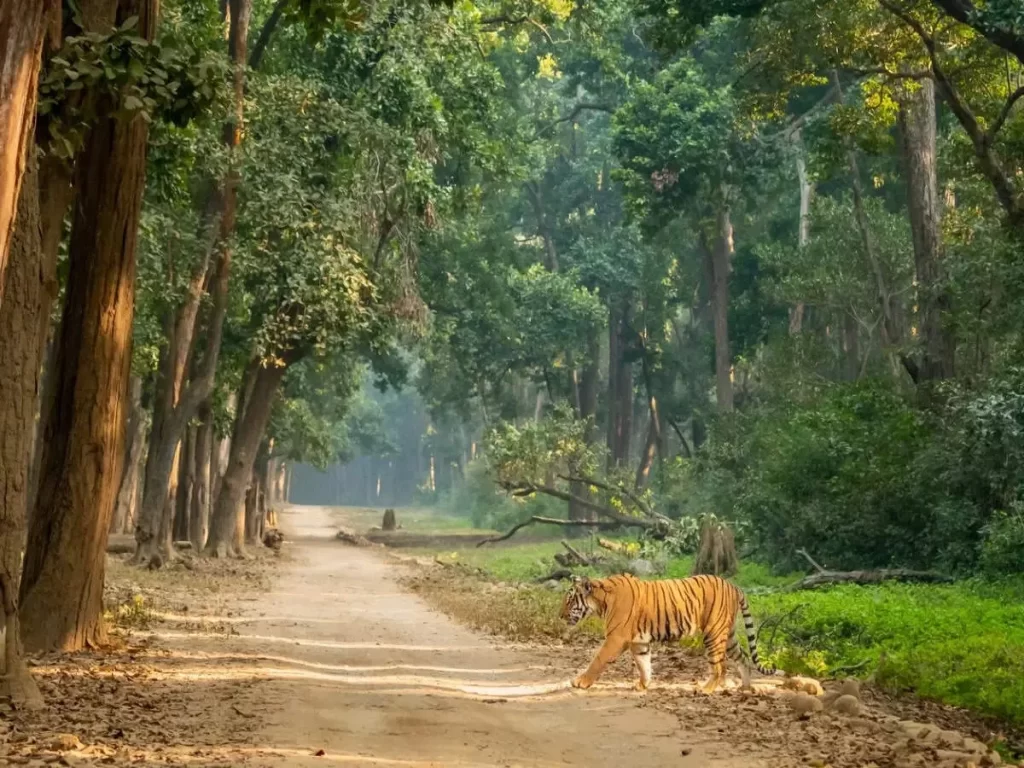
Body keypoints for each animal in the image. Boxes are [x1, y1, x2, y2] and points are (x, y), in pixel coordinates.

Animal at [560, 573, 782, 693]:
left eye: (569, 601)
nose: (560, 616)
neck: (601, 601)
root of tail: (734, 586)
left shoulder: (615, 638)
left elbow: (597, 660)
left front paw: (580, 682)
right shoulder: (639, 643)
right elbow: (644, 664)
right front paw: (643, 685)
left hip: (714, 633)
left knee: (720, 667)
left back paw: (706, 689)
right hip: (729, 636)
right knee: (743, 658)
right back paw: (745, 687)